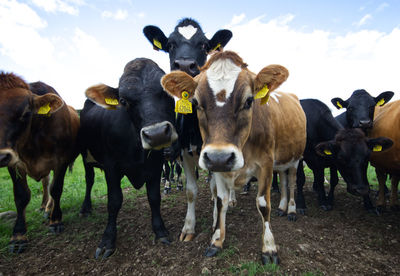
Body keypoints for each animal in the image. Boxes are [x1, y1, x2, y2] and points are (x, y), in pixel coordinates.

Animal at [0, 72, 79, 253]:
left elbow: (56, 189)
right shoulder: (14, 164)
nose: (0, 156)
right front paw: (18, 236)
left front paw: (55, 221)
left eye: (26, 113)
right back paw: (45, 207)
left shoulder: (61, 160)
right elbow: (21, 196)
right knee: (45, 183)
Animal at [78, 58, 177, 258]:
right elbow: (114, 201)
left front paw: (160, 230)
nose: (156, 134)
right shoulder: (111, 167)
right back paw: (85, 207)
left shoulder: (155, 166)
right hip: (85, 156)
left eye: (166, 91)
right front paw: (108, 240)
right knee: (89, 179)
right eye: (123, 101)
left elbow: (154, 197)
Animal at [144, 18, 233, 240]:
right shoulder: (184, 152)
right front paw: (188, 228)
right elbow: (191, 190)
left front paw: (216, 221)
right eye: (169, 45)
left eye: (204, 45)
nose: (184, 65)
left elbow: (216, 188)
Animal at [162, 50, 306, 264]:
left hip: (295, 159)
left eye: (249, 101)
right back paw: (281, 207)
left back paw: (291, 209)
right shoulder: (217, 166)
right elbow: (220, 200)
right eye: (196, 103)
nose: (220, 157)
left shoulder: (266, 164)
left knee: (292, 182)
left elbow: (263, 204)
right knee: (284, 179)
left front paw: (269, 247)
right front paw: (216, 240)